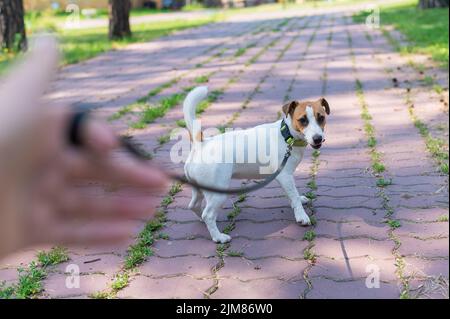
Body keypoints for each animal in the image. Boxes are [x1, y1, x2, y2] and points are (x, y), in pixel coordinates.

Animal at [183, 86, 330, 244]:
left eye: (321, 118)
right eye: (302, 120)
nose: (318, 138)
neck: (286, 136)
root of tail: (201, 144)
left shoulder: (285, 178)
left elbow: (292, 195)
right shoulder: (285, 176)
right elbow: (294, 197)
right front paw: (301, 215)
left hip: (199, 189)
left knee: (194, 206)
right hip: (218, 193)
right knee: (208, 214)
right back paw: (218, 237)